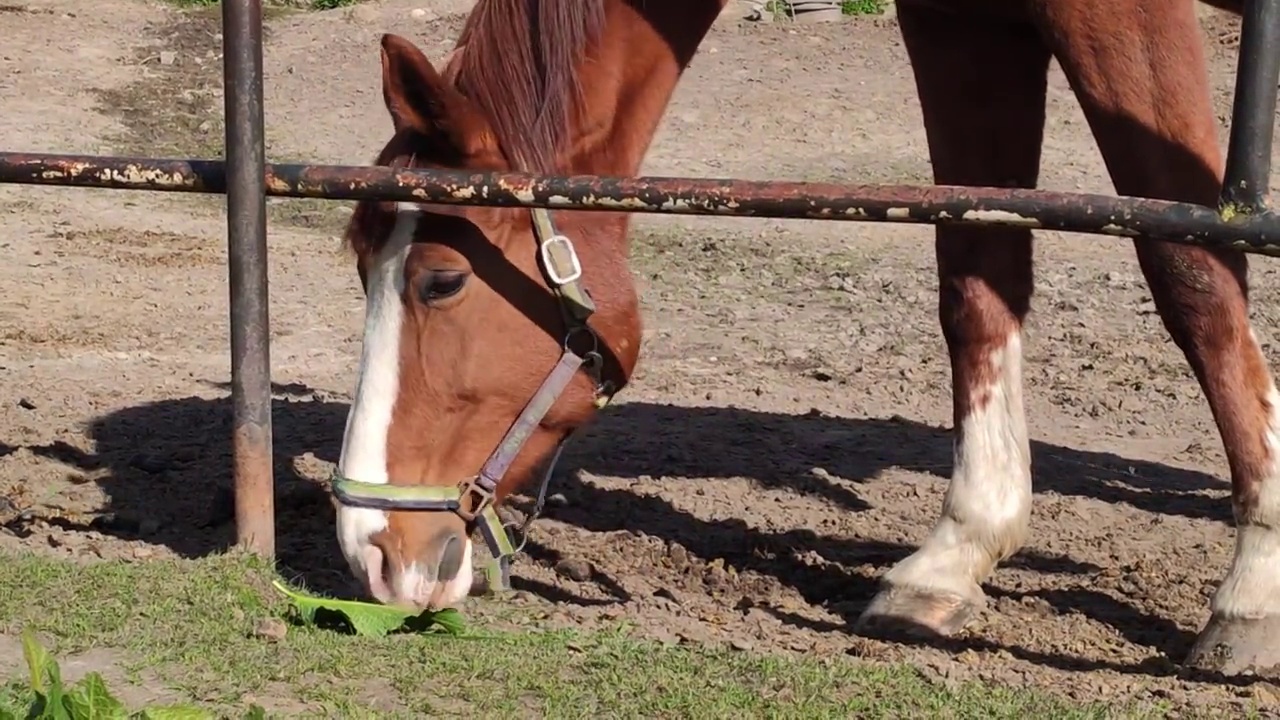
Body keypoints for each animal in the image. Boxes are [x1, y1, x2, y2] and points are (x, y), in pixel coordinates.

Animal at [332, 0, 1280, 671]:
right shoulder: (961, 22)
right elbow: (977, 268)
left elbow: (1193, 269)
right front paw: (956, 554)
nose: (370, 552)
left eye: (442, 282)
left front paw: (1255, 585)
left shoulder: (1123, 12)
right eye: (360, 266)